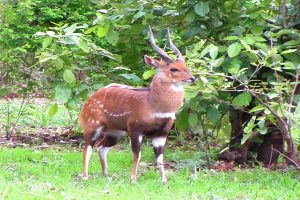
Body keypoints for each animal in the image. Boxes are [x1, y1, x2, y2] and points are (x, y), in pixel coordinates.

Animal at [78, 26, 195, 183]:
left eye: (185, 66)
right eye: (173, 69)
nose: (192, 78)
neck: (154, 105)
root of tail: (86, 103)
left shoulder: (161, 133)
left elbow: (159, 158)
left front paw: (164, 180)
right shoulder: (135, 129)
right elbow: (136, 154)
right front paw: (133, 179)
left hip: (115, 132)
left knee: (101, 147)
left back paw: (106, 175)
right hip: (93, 126)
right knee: (87, 147)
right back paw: (85, 176)